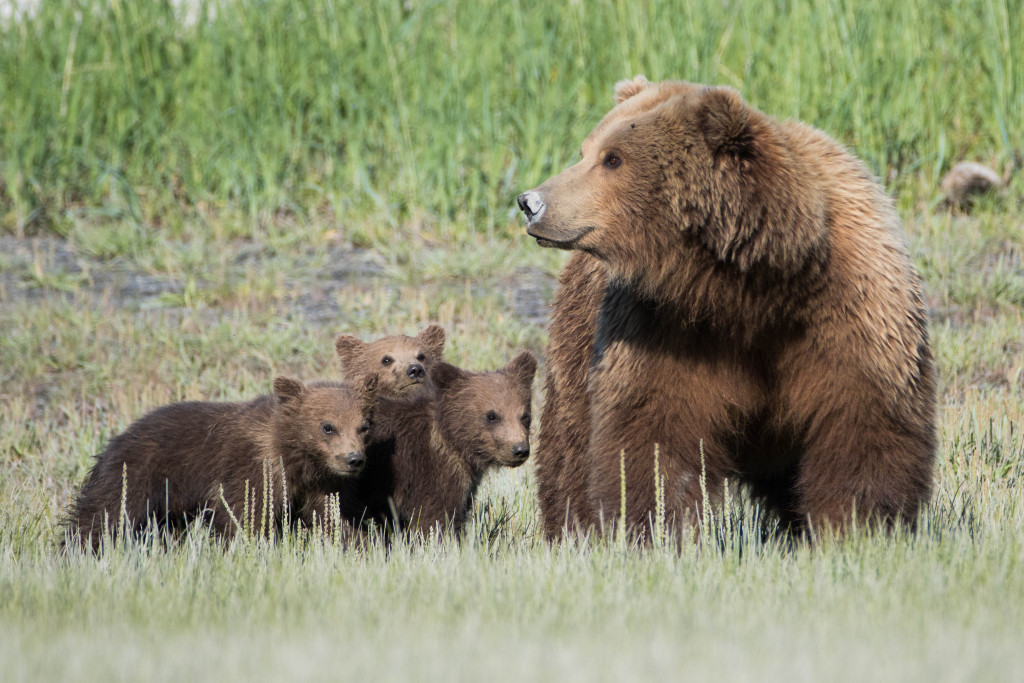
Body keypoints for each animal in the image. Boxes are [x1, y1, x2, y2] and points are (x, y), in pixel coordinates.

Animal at [69, 374, 380, 548]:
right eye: (328, 426)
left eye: (363, 426)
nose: (353, 459)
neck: (297, 459)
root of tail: (117, 437)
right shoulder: (250, 468)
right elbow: (242, 513)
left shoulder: (321, 484)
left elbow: (333, 516)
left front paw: (359, 545)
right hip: (138, 473)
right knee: (105, 513)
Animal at [339, 352, 540, 540]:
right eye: (491, 416)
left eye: (525, 416)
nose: (519, 449)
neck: (454, 443)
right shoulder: (426, 472)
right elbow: (435, 518)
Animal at [520, 76, 937, 540]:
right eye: (586, 151)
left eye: (612, 158)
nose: (530, 202)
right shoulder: (664, 330)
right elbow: (653, 434)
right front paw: (658, 529)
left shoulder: (848, 313)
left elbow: (862, 428)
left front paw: (856, 527)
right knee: (570, 448)